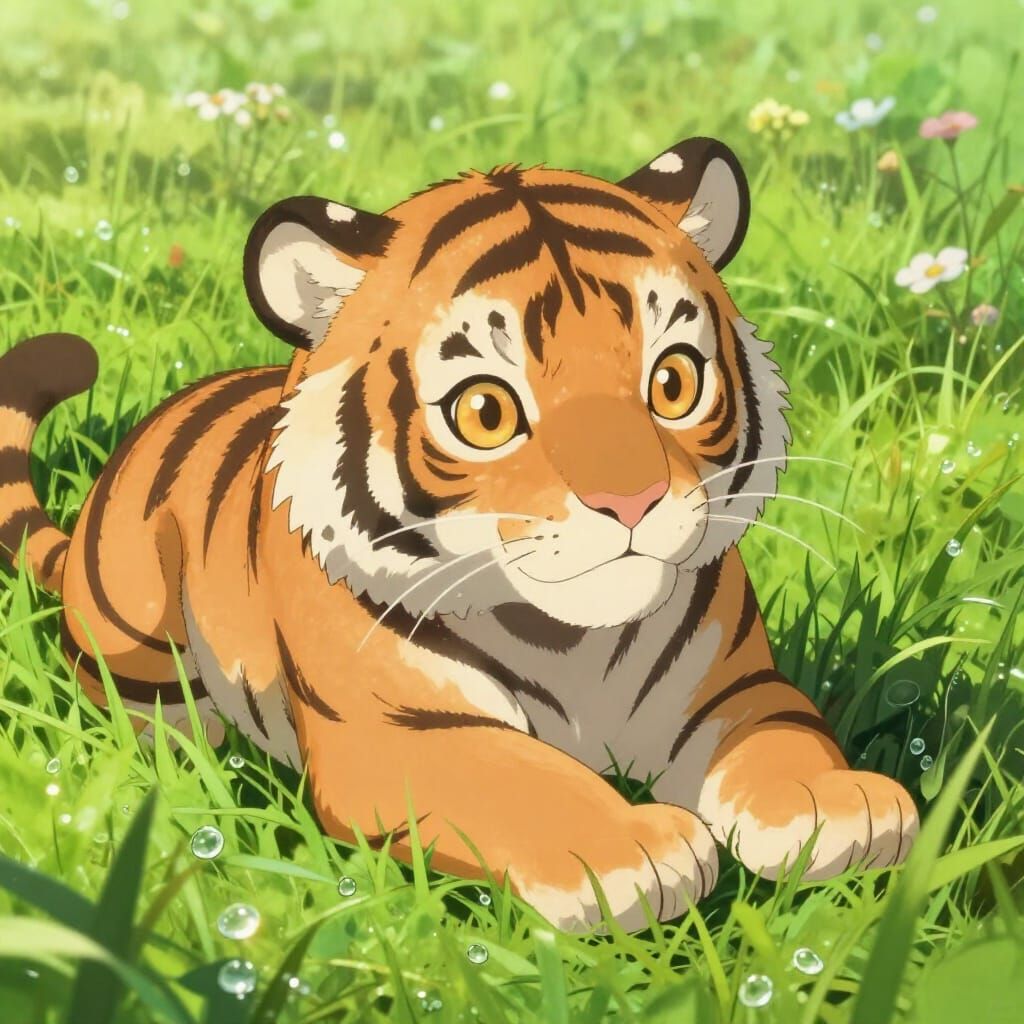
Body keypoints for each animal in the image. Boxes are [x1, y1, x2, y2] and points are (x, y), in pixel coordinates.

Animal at [0, 135, 918, 931]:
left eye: (674, 381)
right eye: (486, 411)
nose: (632, 500)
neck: (577, 644)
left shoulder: (731, 685)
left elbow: (782, 735)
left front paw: (835, 806)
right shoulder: (402, 736)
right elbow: (517, 776)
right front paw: (633, 850)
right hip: (131, 628)